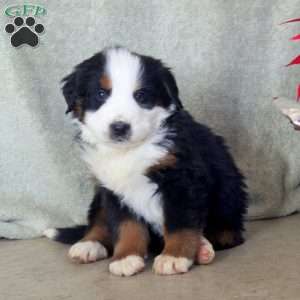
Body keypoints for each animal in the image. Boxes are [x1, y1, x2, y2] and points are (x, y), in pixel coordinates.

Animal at [44, 46, 246, 276]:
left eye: (141, 96)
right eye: (101, 94)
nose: (120, 127)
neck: (129, 152)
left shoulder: (181, 178)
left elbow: (180, 222)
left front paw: (174, 257)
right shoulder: (113, 189)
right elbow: (125, 225)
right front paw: (126, 257)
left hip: (229, 198)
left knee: (225, 233)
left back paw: (202, 248)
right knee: (97, 220)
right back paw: (89, 244)